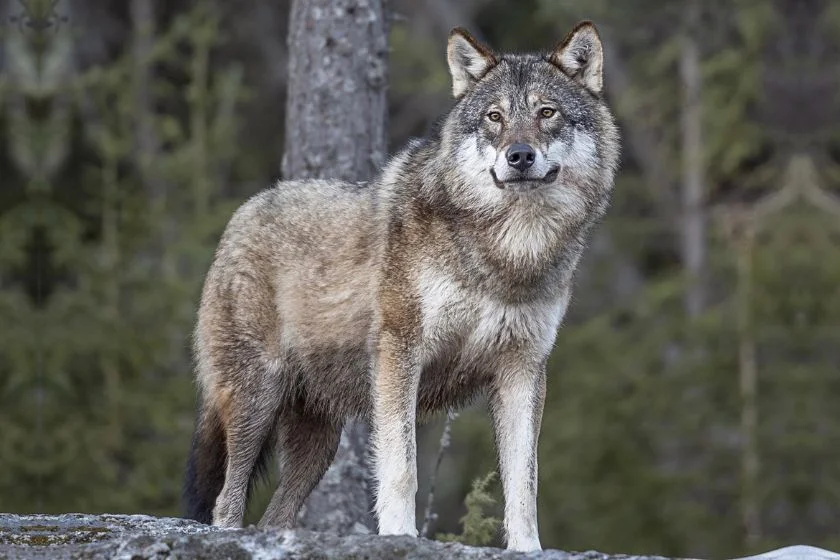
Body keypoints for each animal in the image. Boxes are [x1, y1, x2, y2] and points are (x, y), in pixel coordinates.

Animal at [184, 20, 616, 552]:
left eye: (546, 112)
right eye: (494, 117)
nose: (519, 156)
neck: (506, 258)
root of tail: (241, 214)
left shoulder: (524, 369)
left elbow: (524, 481)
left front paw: (528, 548)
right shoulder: (400, 352)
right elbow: (402, 465)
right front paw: (400, 535)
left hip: (318, 443)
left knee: (273, 517)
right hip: (256, 398)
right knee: (226, 501)